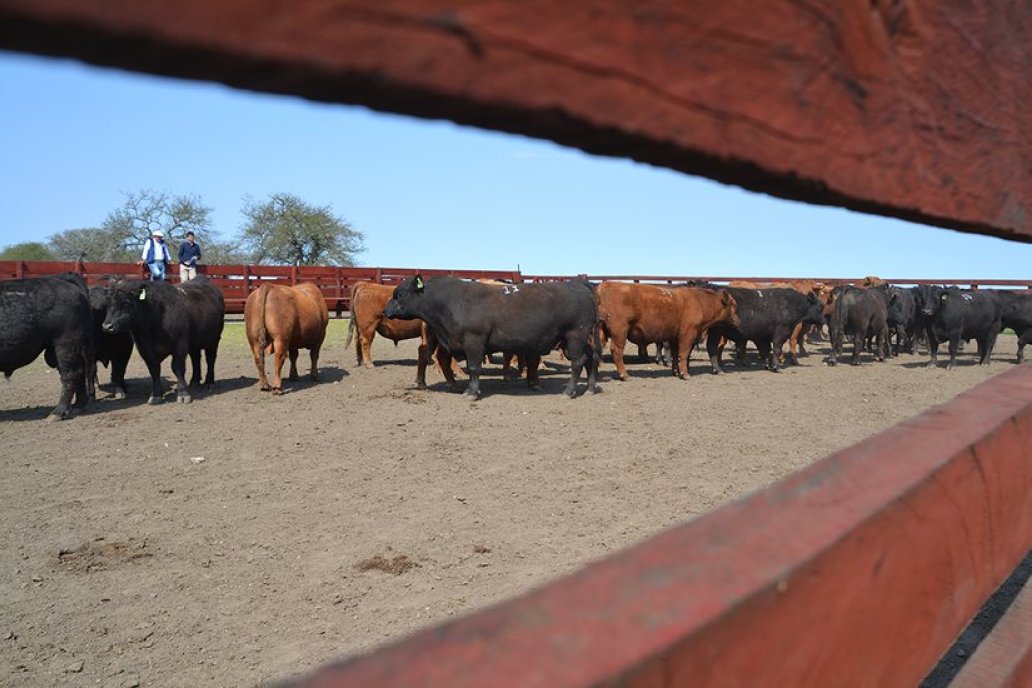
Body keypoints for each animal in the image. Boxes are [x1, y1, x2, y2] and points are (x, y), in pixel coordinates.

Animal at [0, 274, 94, 420]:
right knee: (79, 371)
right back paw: (77, 407)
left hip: (65, 344)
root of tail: (62, 278)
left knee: (71, 374)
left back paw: (57, 412)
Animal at [101, 276, 224, 404]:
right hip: (194, 343)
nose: (107, 326)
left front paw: (183, 393)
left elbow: (178, 368)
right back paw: (194, 381)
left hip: (214, 339)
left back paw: (209, 382)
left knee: (210, 359)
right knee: (195, 358)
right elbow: (154, 370)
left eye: (127, 302)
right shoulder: (145, 349)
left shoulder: (179, 346)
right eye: (108, 303)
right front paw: (156, 395)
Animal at [383, 276, 602, 400]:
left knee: (578, 362)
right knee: (591, 359)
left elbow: (474, 367)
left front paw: (471, 392)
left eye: (399, 294)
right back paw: (590, 388)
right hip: (581, 339)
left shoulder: (474, 341)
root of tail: (579, 285)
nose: (385, 311)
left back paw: (569, 392)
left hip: (575, 336)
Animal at [594, 284, 738, 381]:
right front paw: (685, 374)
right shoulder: (687, 335)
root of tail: (607, 284)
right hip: (619, 332)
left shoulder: (674, 337)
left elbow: (675, 354)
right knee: (617, 351)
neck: (700, 302)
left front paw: (676, 372)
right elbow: (683, 354)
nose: (738, 321)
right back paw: (624, 375)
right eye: (733, 305)